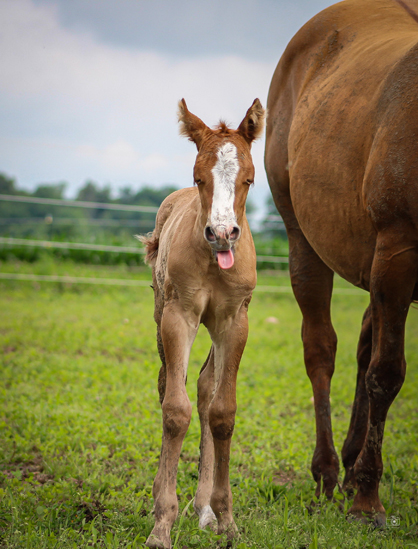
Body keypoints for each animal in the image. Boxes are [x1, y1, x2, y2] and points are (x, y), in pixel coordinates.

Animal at [142, 99, 262, 548]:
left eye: (249, 179)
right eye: (198, 177)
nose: (223, 233)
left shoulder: (234, 320)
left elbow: (222, 412)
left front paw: (225, 518)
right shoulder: (180, 315)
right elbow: (176, 410)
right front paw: (162, 524)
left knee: (207, 387)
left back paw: (204, 509)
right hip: (162, 311)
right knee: (168, 384)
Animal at [264, 0, 418, 528]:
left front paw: (363, 483)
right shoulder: (399, 251)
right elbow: (386, 374)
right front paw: (368, 500)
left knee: (363, 349)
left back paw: (349, 469)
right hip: (307, 243)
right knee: (322, 351)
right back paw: (331, 473)